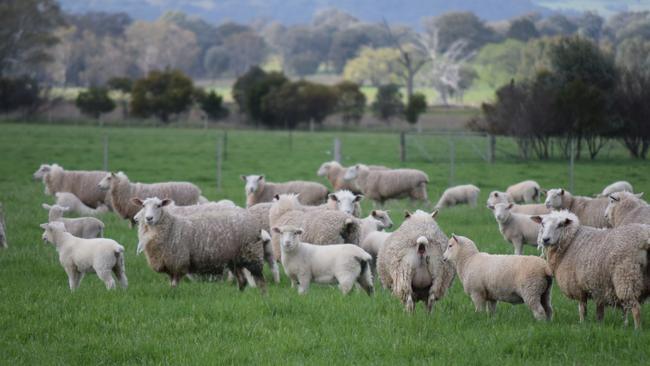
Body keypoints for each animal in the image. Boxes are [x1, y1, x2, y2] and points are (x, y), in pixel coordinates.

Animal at [132, 196, 266, 290]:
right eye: (143, 205)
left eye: (158, 205)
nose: (137, 219)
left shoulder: (178, 259)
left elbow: (175, 283)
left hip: (249, 250)